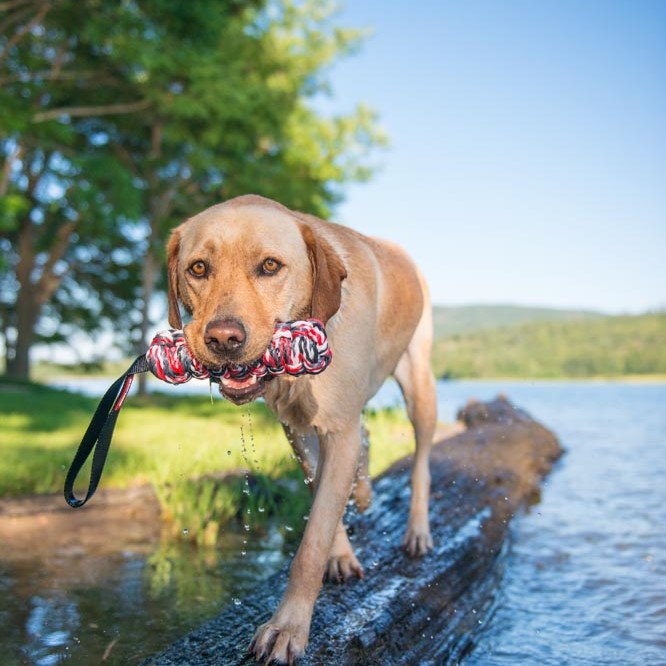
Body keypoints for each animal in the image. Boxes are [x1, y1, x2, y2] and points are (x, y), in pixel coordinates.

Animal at [165, 195, 436, 660]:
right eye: (198, 268)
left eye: (270, 266)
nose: (223, 339)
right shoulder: (299, 428)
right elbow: (321, 500)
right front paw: (340, 553)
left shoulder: (338, 429)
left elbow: (311, 543)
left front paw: (287, 627)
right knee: (367, 439)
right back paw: (364, 493)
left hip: (420, 389)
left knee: (421, 463)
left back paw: (417, 530)